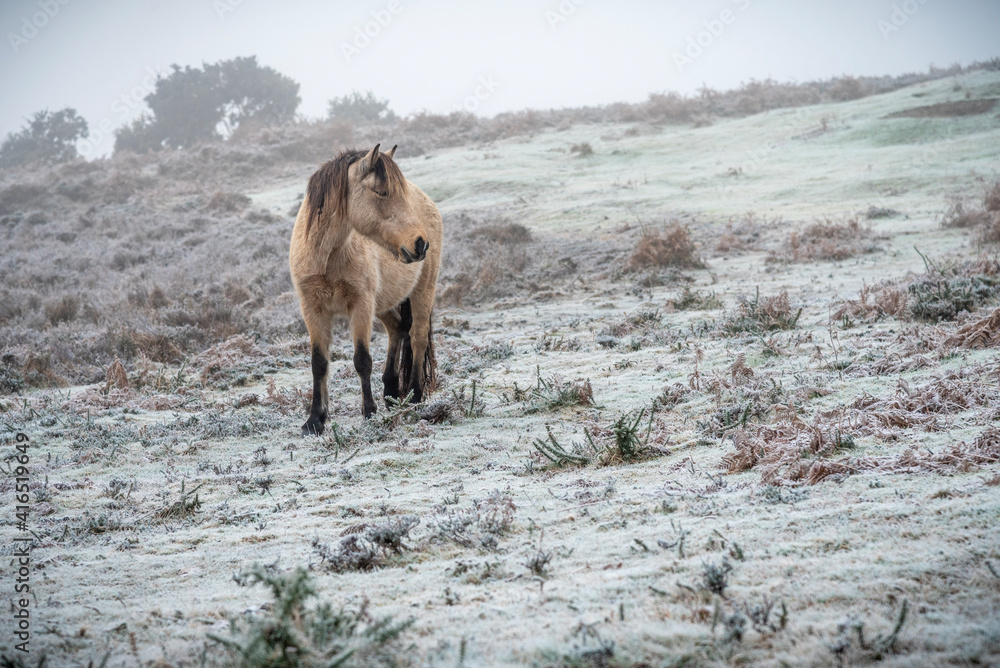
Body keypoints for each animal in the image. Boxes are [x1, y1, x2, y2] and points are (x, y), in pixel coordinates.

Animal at [289, 144, 442, 435]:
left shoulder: (360, 305)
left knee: (416, 336)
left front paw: (369, 412)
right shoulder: (312, 308)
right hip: (383, 304)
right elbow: (318, 363)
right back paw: (392, 393)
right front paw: (315, 420)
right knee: (398, 329)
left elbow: (362, 360)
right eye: (381, 192)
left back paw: (414, 397)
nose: (419, 244)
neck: (328, 257)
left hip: (423, 290)